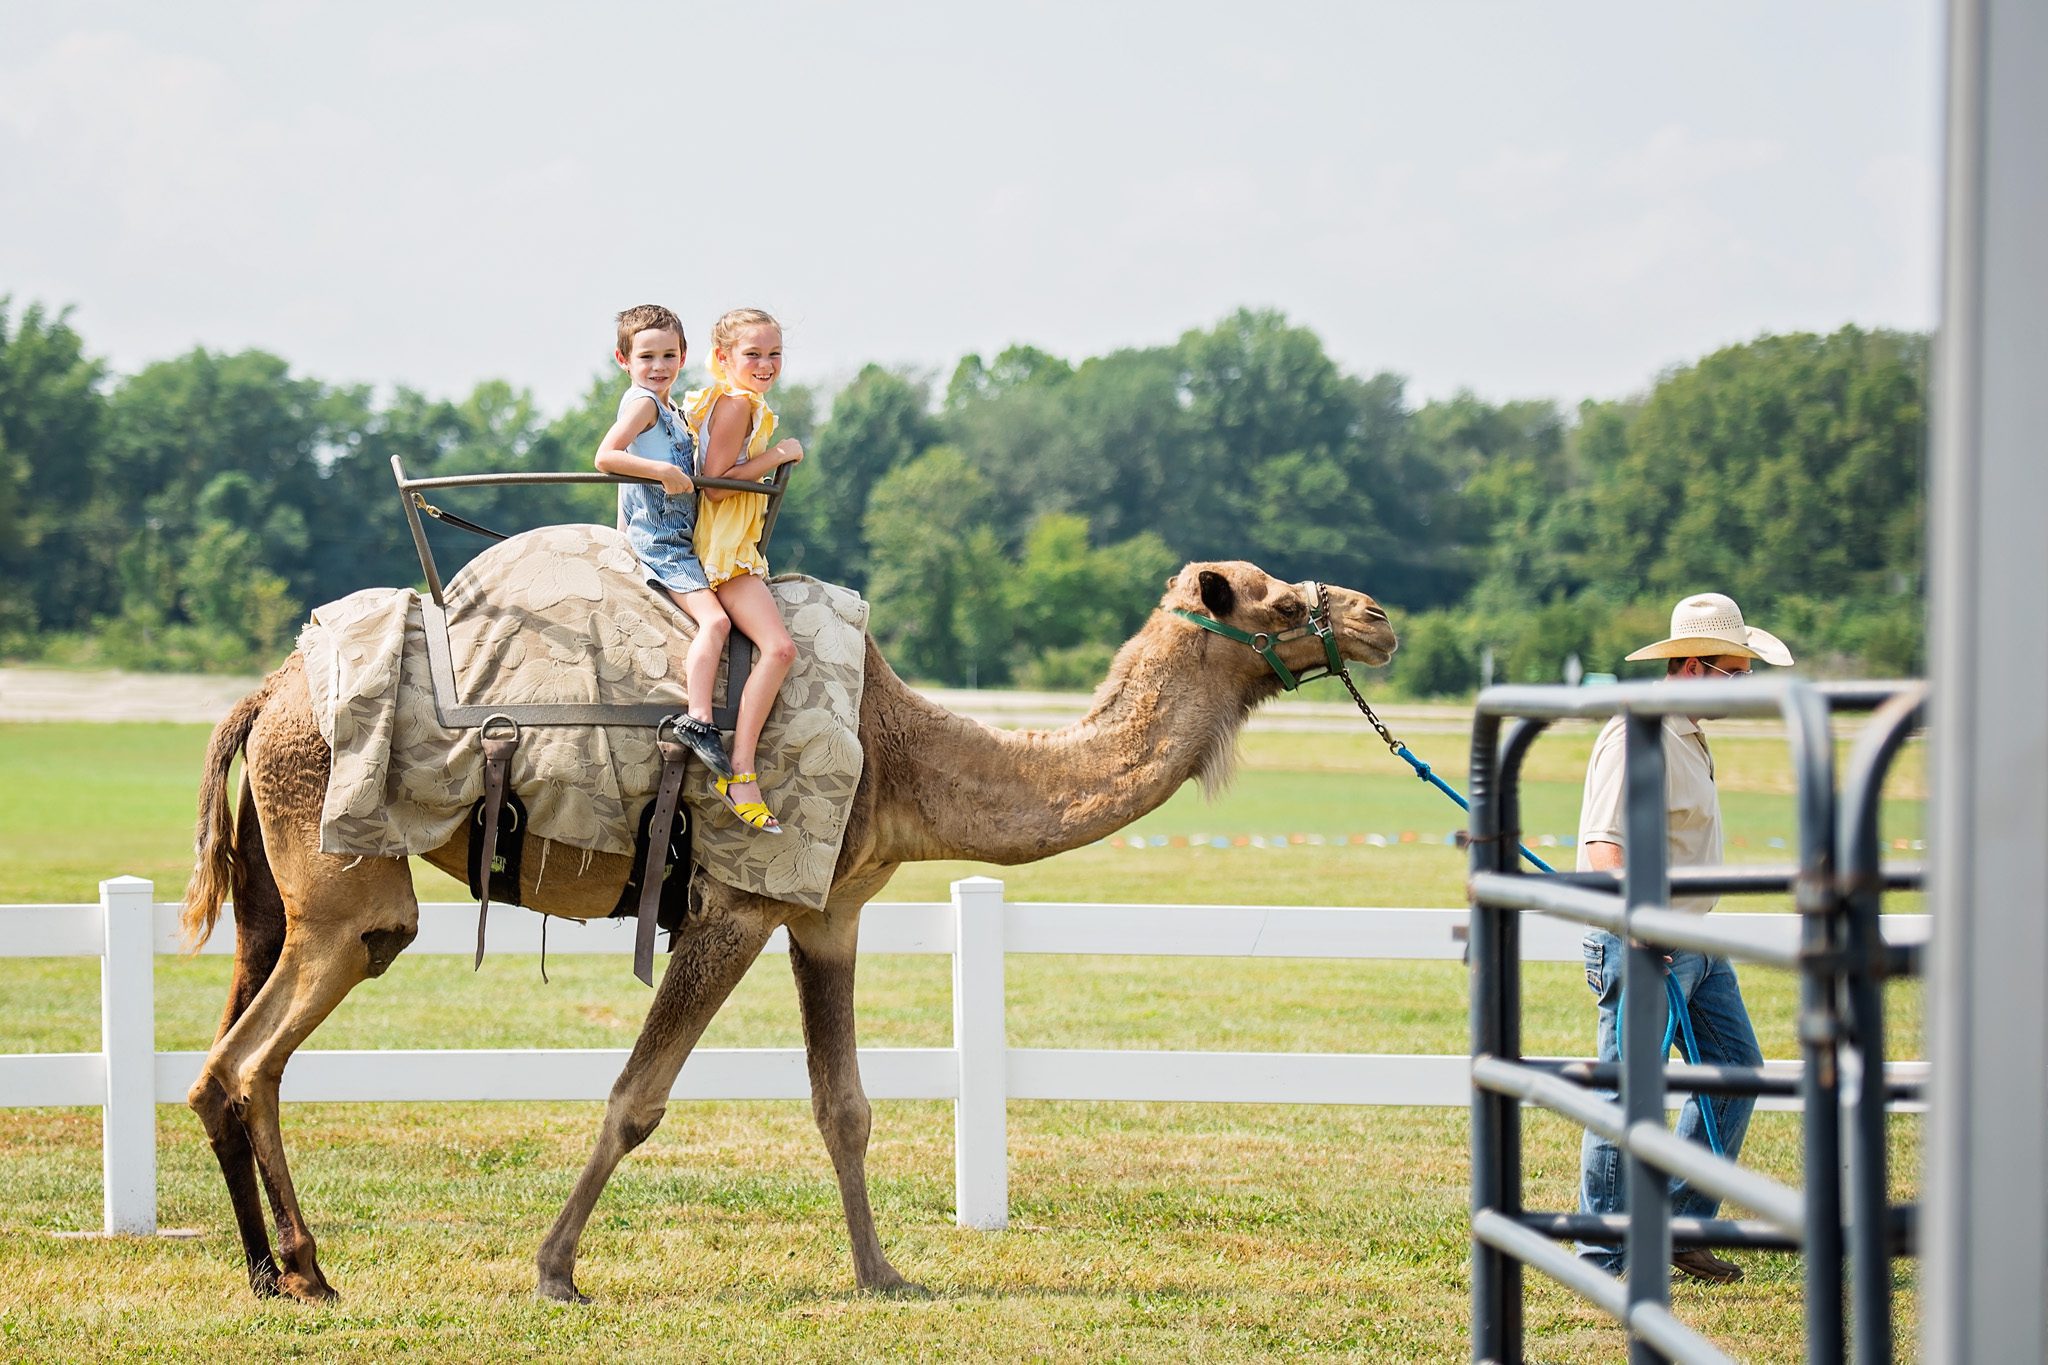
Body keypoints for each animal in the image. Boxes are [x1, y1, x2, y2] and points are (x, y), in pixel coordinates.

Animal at [180, 564, 1392, 1301]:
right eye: (1273, 600)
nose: (1375, 617)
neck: (904, 754)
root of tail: (264, 695)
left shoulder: (829, 911)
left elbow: (843, 1106)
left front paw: (883, 1275)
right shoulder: (739, 904)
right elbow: (636, 1099)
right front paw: (556, 1269)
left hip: (284, 888)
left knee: (228, 1066)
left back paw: (271, 1272)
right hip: (344, 879)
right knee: (256, 1049)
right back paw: (306, 1268)